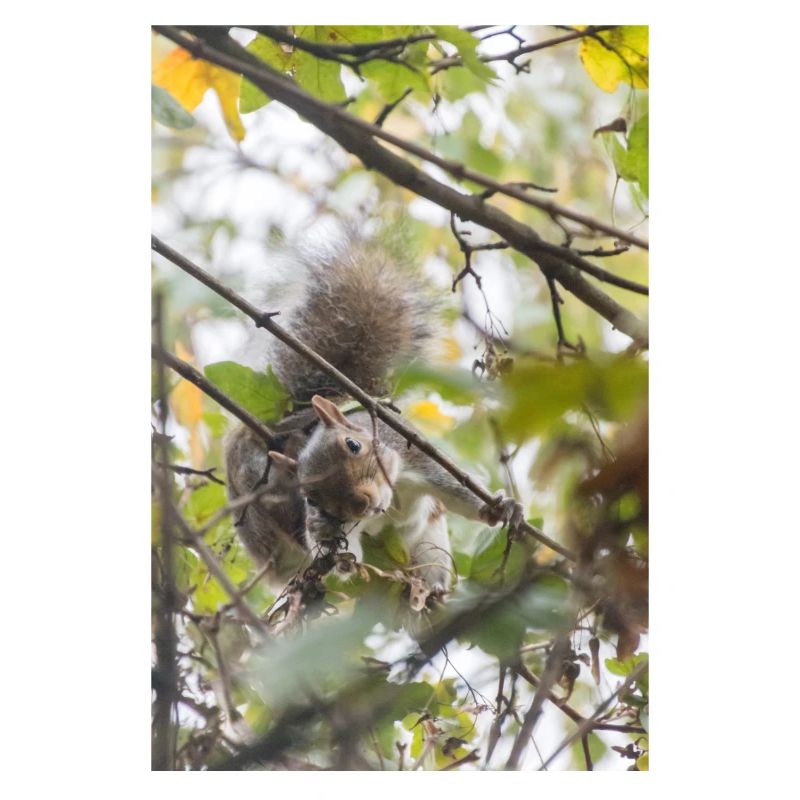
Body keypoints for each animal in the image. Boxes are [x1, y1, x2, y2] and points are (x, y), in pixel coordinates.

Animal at [224, 233, 522, 608]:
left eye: (354, 445)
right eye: (311, 497)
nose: (360, 503)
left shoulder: (415, 456)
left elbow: (458, 492)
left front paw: (501, 508)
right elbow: (329, 543)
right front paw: (333, 550)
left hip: (430, 546)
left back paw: (432, 591)